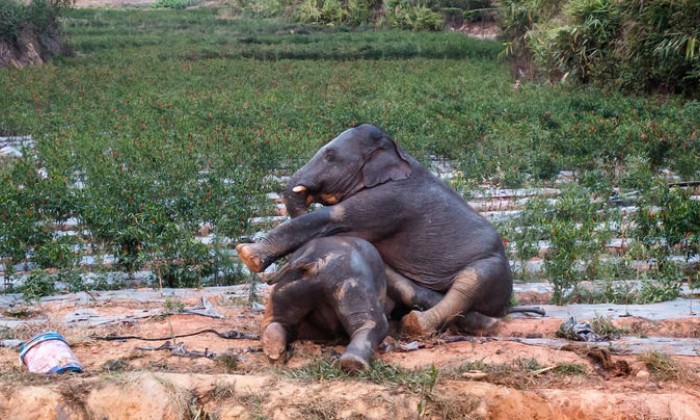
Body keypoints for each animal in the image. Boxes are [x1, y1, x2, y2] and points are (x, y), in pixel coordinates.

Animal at [239, 123, 516, 336]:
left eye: (329, 156)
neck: (397, 152)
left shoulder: (390, 202)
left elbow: (332, 219)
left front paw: (246, 253)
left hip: (494, 269)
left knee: (469, 284)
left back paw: (416, 324)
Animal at [260, 236, 388, 374]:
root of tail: (318, 263)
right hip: (352, 283)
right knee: (373, 322)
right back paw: (352, 364)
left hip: (288, 289)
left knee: (278, 322)